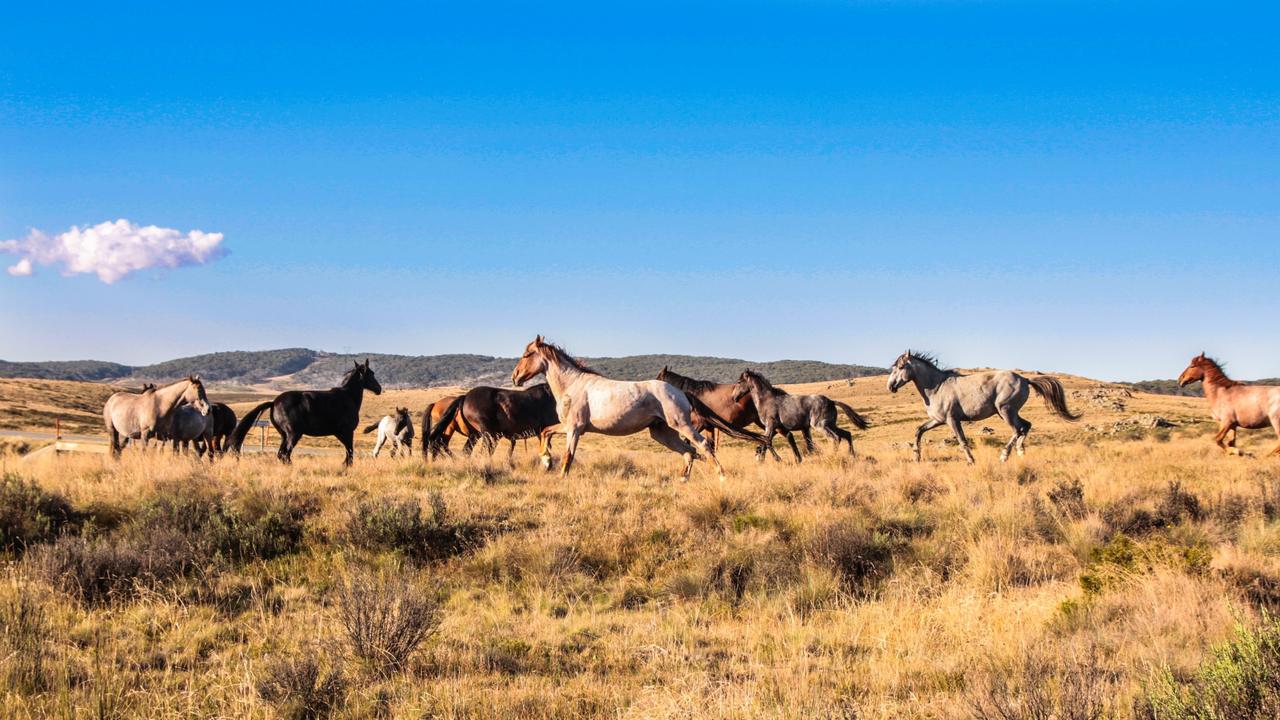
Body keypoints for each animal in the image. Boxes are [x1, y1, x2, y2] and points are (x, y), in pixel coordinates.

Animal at [227, 358, 381, 466]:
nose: (379, 389)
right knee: (286, 454)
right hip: (293, 434)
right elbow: (350, 452)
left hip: (284, 435)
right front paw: (346, 467)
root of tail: (274, 402)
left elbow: (349, 452)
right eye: (371, 374)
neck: (347, 397)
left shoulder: (342, 433)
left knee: (281, 454)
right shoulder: (347, 432)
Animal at [422, 381, 558, 458]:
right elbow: (547, 448)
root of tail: (465, 397)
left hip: (476, 434)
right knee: (484, 450)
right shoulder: (544, 431)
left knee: (466, 450)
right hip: (487, 434)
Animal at [732, 366, 870, 461]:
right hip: (831, 425)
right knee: (847, 434)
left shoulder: (770, 426)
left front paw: (771, 459)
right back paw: (852, 455)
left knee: (835, 438)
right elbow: (770, 441)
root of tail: (831, 401)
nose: (734, 398)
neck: (766, 400)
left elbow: (766, 441)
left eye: (739, 382)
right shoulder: (779, 428)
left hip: (820, 426)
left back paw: (833, 456)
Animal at [890, 351, 1080, 461]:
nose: (890, 386)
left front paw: (971, 461)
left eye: (901, 367)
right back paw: (1020, 452)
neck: (937, 386)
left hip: (1005, 410)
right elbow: (919, 431)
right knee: (1026, 426)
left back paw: (1004, 456)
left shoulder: (952, 420)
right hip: (1009, 412)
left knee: (1017, 430)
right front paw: (916, 457)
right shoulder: (937, 420)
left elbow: (962, 440)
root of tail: (1025, 379)